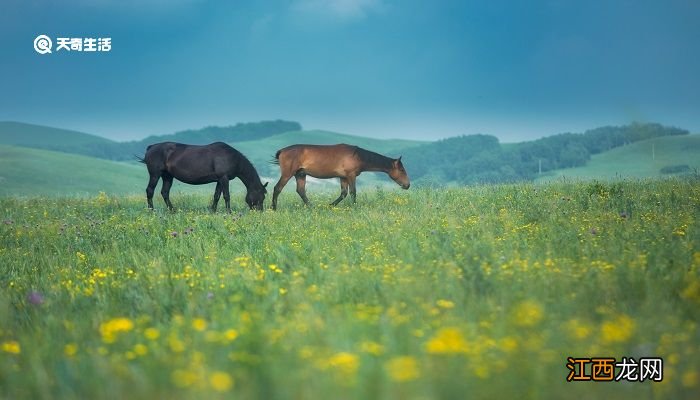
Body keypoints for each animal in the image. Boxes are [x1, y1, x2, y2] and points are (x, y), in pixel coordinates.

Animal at [139, 143, 268, 212]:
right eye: (261, 197)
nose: (259, 212)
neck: (233, 158)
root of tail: (151, 147)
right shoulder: (224, 178)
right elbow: (226, 196)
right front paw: (229, 212)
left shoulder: (219, 180)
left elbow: (216, 196)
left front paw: (213, 211)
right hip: (155, 175)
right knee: (150, 191)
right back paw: (151, 211)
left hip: (167, 176)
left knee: (165, 192)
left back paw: (172, 210)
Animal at [270, 145, 408, 211]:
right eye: (402, 170)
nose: (407, 185)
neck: (357, 156)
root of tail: (282, 151)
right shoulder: (351, 176)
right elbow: (353, 192)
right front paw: (354, 207)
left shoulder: (343, 178)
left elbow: (343, 193)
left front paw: (330, 205)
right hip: (288, 174)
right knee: (277, 188)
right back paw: (273, 208)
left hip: (300, 174)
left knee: (301, 191)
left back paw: (312, 207)